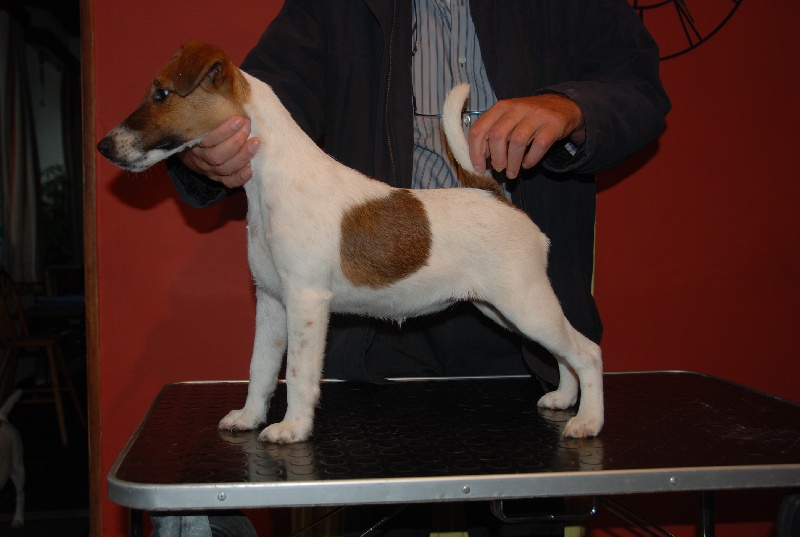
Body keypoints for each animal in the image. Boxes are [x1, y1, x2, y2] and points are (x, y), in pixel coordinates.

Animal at [97, 41, 604, 443]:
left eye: (161, 93)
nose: (104, 146)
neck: (271, 183)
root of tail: (492, 193)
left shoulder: (306, 302)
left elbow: (299, 373)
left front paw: (292, 428)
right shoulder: (271, 301)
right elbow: (262, 368)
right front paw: (249, 417)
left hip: (524, 303)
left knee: (587, 352)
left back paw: (588, 421)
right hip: (503, 309)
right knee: (564, 353)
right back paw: (564, 399)